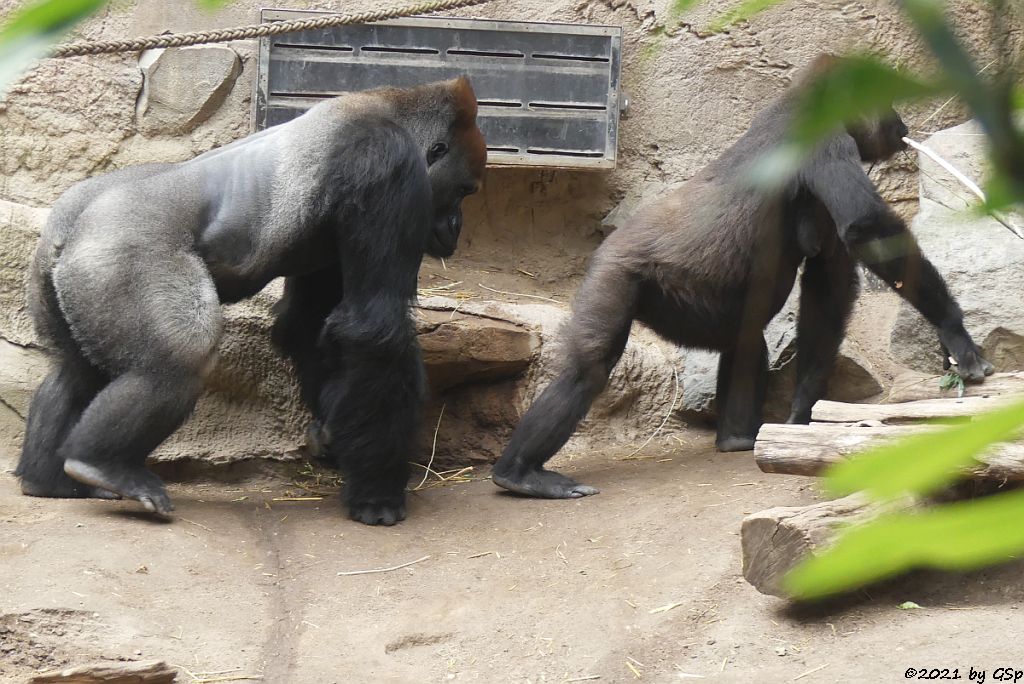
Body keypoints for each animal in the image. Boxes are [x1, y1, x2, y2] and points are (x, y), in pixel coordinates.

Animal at [14, 77, 487, 524]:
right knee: (174, 363)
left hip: (62, 278)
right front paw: (378, 494)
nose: (457, 228)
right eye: (464, 190)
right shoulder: (389, 166)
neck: (389, 109)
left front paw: (334, 435)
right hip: (123, 251)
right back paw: (102, 464)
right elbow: (374, 328)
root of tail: (68, 227)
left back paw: (49, 479)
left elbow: (310, 326)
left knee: (75, 372)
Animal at [493, 56, 991, 499]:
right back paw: (519, 474)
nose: (900, 123)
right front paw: (954, 329)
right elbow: (867, 231)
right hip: (616, 272)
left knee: (745, 336)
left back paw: (735, 438)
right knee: (589, 366)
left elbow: (828, 285)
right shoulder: (827, 141)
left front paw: (804, 410)